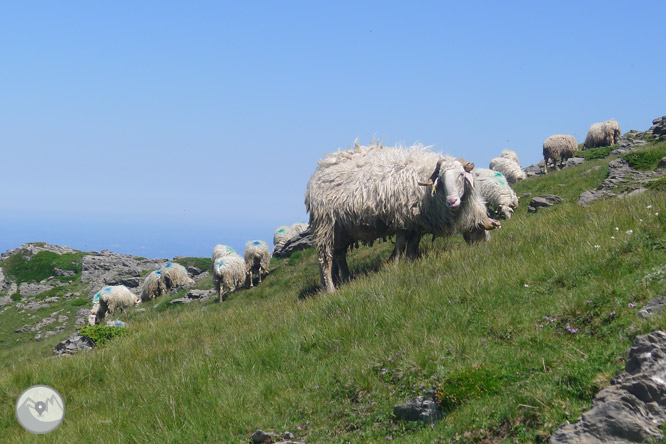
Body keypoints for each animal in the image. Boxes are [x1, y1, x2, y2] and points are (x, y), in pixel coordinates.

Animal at [304, 140, 496, 294]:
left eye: (461, 175)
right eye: (440, 178)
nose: (452, 201)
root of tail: (318, 172)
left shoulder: (416, 223)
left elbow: (412, 244)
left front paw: (409, 262)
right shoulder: (402, 219)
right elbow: (401, 244)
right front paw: (395, 264)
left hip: (342, 230)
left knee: (339, 255)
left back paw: (344, 279)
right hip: (326, 225)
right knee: (325, 260)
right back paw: (330, 289)